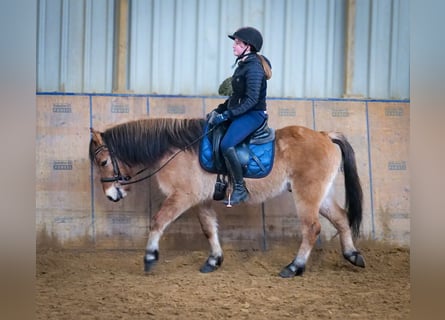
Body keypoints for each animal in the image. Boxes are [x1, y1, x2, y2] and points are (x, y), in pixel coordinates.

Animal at [89, 117, 364, 278]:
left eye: (103, 162)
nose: (111, 195)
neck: (176, 149)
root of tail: (325, 135)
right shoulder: (201, 200)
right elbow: (209, 229)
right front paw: (214, 260)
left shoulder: (183, 196)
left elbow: (158, 221)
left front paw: (149, 257)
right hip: (321, 195)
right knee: (341, 218)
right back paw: (352, 255)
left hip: (306, 194)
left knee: (311, 228)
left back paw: (294, 267)